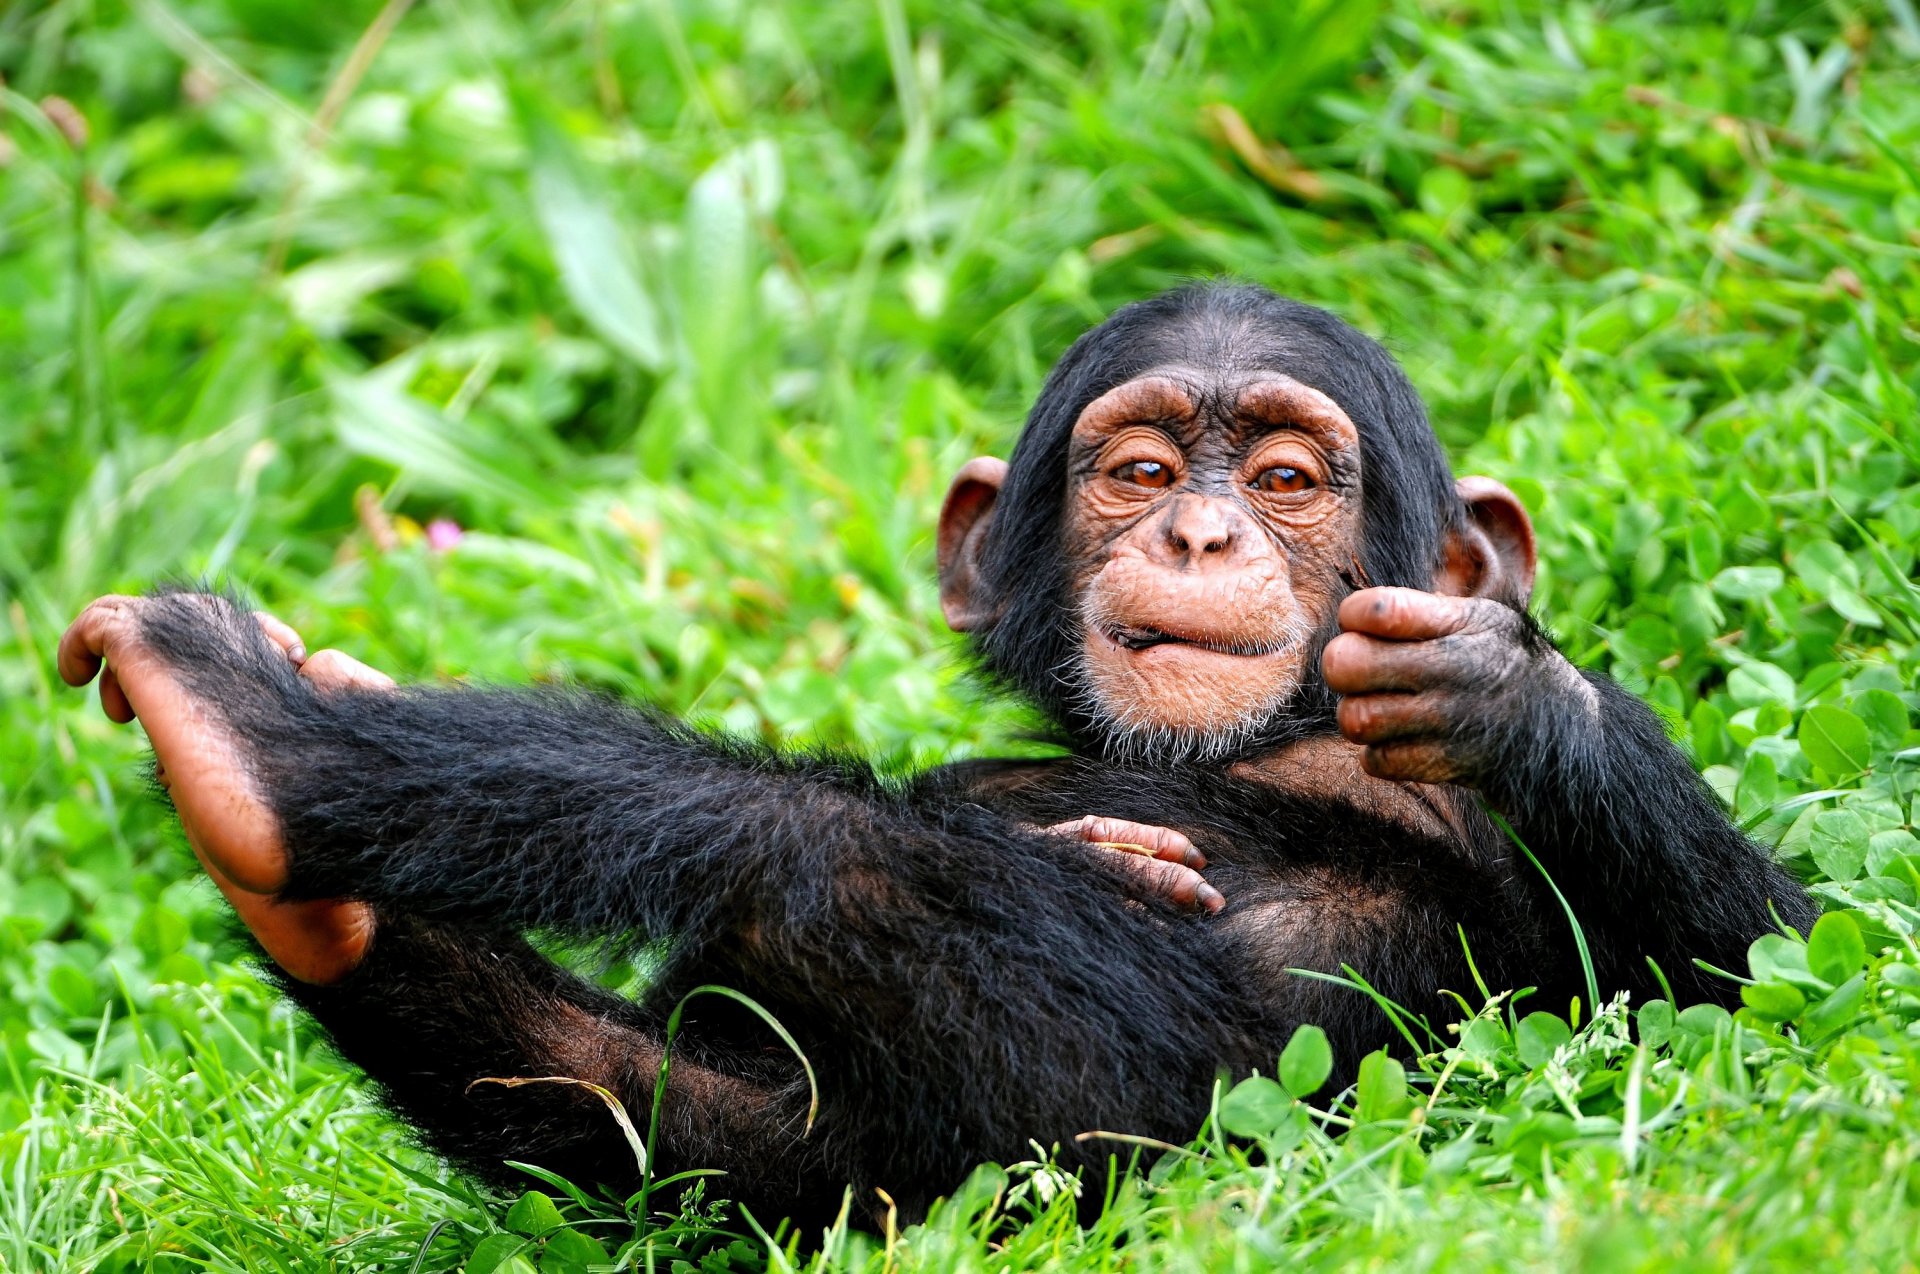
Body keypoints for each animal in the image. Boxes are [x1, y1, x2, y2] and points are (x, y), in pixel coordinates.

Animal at [60, 282, 1814, 1227]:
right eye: (1142, 466)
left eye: (1292, 476)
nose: (1202, 527)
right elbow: (724, 1130)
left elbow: (1757, 967)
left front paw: (1508, 686)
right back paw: (288, 850)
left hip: (1133, 1120)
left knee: (818, 848)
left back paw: (265, 740)